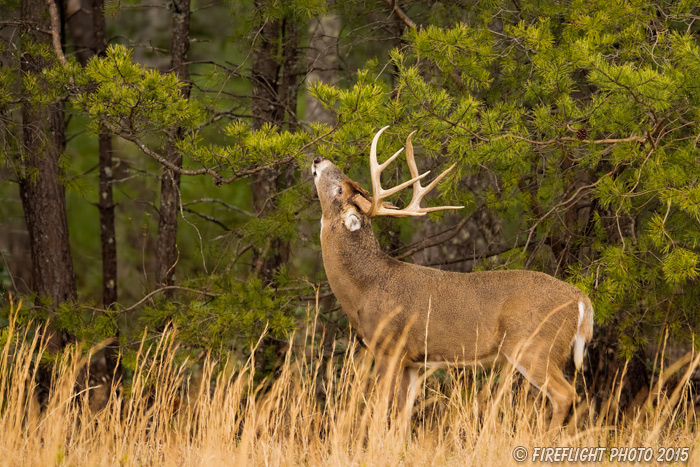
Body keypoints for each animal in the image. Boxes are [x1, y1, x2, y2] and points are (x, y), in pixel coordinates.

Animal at [314, 126, 592, 430]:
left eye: (340, 189)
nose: (318, 160)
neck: (365, 287)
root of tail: (582, 301)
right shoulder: (414, 362)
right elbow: (402, 418)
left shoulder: (390, 347)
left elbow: (379, 412)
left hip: (536, 346)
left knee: (565, 394)